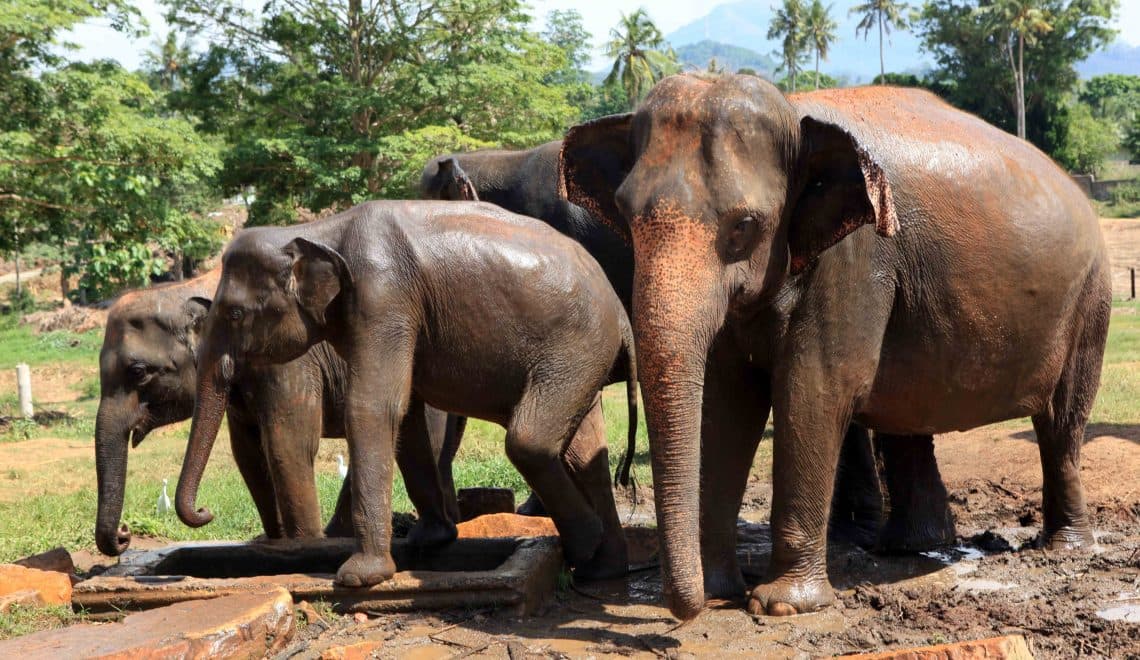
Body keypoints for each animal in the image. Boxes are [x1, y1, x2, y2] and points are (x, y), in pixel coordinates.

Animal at [94, 271, 462, 556]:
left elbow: (288, 446)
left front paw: (303, 545)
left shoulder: (286, 362)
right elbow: (249, 455)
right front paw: (274, 541)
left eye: (138, 371)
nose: (124, 536)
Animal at [174, 200, 640, 586]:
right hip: (582, 360)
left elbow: (374, 408)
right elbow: (408, 414)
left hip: (574, 350)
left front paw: (358, 578)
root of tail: (620, 313)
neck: (318, 230)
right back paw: (602, 570)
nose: (205, 513)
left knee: (530, 442)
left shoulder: (383, 298)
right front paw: (429, 542)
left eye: (236, 313)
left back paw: (586, 545)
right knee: (584, 450)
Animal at [559, 74, 1111, 619]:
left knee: (1060, 422)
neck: (793, 110)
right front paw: (720, 591)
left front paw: (781, 606)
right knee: (908, 416)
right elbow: (726, 403)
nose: (688, 610)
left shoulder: (856, 256)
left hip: (1090, 299)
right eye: (625, 215)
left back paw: (1064, 548)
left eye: (744, 226)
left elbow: (816, 390)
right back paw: (911, 548)